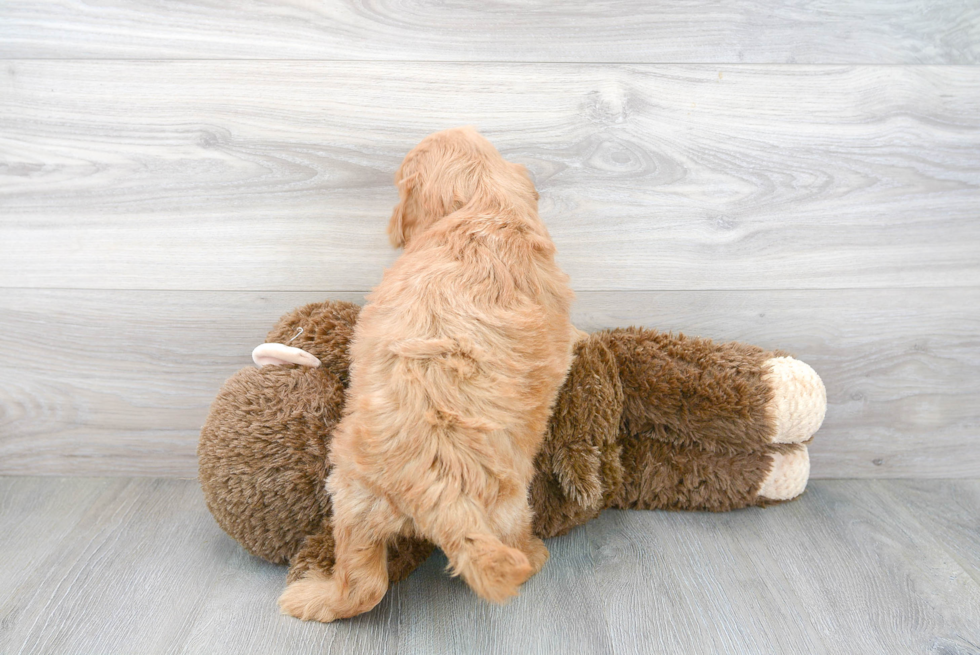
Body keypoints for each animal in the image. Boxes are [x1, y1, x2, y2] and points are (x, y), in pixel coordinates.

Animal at [280, 127, 580, 620]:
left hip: (351, 491)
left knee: (363, 584)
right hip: (487, 502)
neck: (487, 206)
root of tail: (441, 485)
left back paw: (310, 596)